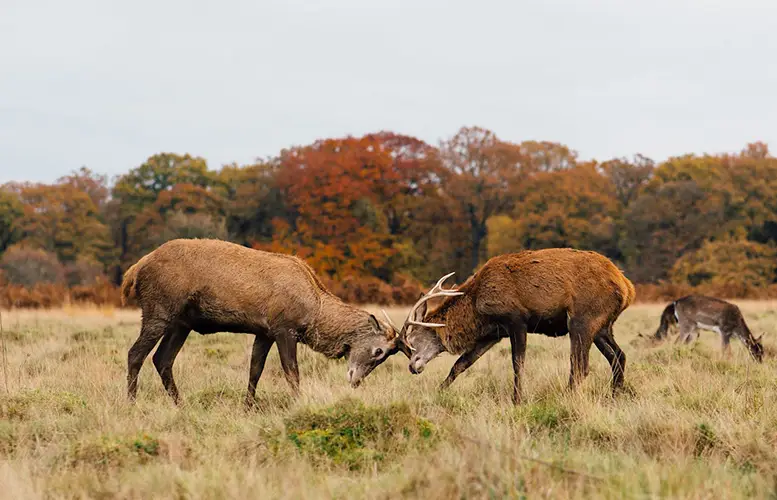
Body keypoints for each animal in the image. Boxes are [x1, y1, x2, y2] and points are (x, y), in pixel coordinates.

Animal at [119, 238, 406, 406]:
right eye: (379, 351)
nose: (355, 380)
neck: (314, 311)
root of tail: (135, 269)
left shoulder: (264, 332)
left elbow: (255, 370)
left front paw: (248, 406)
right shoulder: (284, 328)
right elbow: (291, 372)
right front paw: (299, 403)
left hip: (182, 323)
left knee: (162, 359)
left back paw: (181, 403)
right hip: (158, 310)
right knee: (135, 354)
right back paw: (132, 404)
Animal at [384, 248, 632, 404]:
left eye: (411, 341)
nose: (413, 367)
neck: (476, 306)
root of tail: (627, 288)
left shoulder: (516, 319)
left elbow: (517, 363)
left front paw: (517, 400)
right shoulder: (492, 333)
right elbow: (461, 364)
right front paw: (439, 391)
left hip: (583, 319)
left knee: (581, 365)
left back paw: (567, 397)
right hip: (603, 326)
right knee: (618, 356)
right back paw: (615, 396)